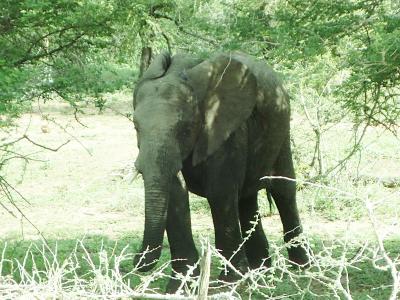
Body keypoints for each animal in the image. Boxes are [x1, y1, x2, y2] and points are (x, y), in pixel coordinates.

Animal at [131, 50, 310, 292]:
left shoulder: (225, 126)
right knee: (246, 198)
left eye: (185, 128)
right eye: (135, 127)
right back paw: (260, 270)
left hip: (282, 124)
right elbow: (176, 194)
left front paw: (228, 282)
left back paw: (300, 266)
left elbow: (220, 192)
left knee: (283, 190)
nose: (137, 261)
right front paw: (180, 286)